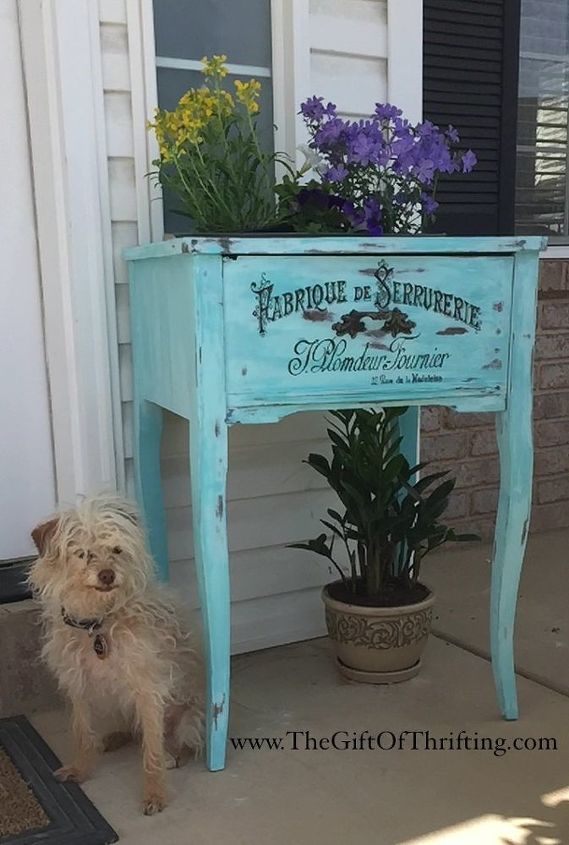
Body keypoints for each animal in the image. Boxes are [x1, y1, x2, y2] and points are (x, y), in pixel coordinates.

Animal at [28, 494, 203, 812]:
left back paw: (173, 754)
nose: (108, 574)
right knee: (134, 731)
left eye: (117, 550)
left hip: (187, 718)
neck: (97, 622)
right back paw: (114, 738)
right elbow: (82, 733)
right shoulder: (77, 684)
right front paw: (81, 769)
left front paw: (154, 793)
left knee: (177, 740)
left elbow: (152, 751)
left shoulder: (148, 689)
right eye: (83, 553)